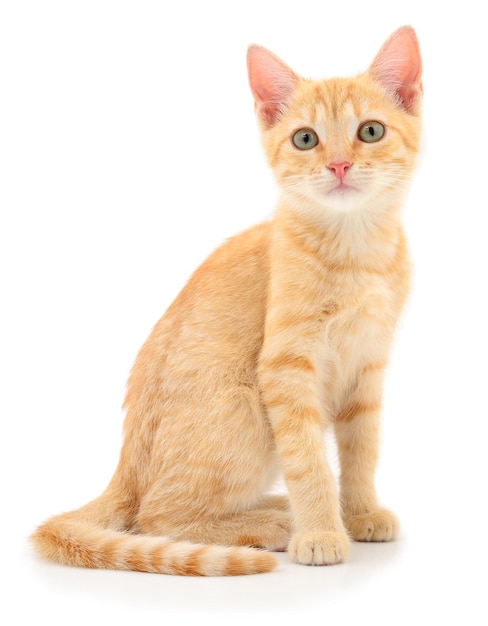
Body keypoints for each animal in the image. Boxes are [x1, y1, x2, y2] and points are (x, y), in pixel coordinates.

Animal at [29, 26, 424, 572]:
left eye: (370, 131)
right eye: (306, 139)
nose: (339, 164)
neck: (357, 252)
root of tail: (125, 468)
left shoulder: (368, 366)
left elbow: (362, 450)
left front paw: (360, 512)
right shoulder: (285, 368)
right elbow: (308, 460)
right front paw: (322, 530)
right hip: (242, 405)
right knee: (157, 516)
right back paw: (269, 523)